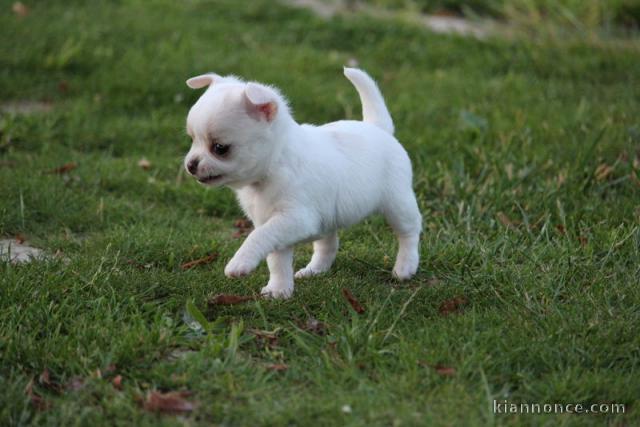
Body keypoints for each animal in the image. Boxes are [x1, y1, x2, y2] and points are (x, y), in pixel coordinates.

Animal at [185, 68, 422, 300]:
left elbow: (258, 237)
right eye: (192, 140)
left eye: (219, 148)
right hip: (329, 218)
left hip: (398, 203)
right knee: (328, 245)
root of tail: (378, 128)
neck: (274, 165)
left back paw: (405, 267)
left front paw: (240, 262)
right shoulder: (274, 224)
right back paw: (314, 270)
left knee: (409, 232)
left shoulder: (293, 219)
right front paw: (279, 290)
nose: (190, 164)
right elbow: (276, 260)